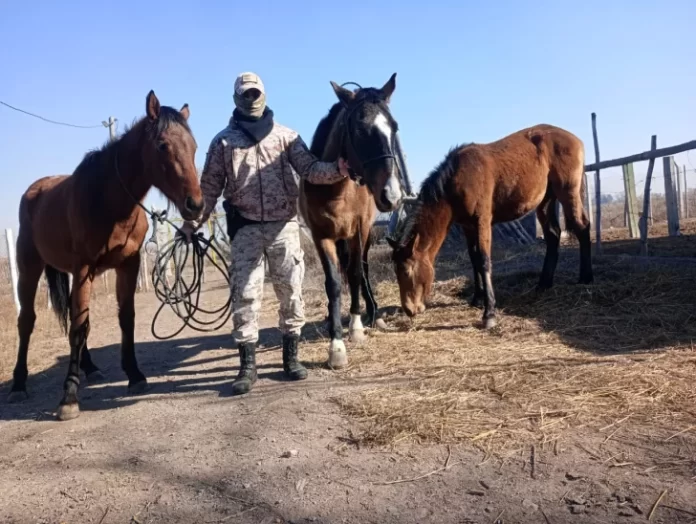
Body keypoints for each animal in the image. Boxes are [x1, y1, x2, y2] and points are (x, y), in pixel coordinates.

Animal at [7, 91, 204, 421]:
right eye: (162, 145)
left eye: (194, 146)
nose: (195, 205)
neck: (108, 200)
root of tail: (35, 190)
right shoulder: (84, 267)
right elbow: (78, 328)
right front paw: (68, 398)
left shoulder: (127, 265)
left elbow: (123, 318)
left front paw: (135, 376)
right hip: (30, 268)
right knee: (28, 321)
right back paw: (19, 385)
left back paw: (89, 368)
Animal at [299, 73, 412, 369]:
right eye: (359, 131)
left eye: (394, 128)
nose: (391, 195)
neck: (335, 190)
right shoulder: (321, 236)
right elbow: (334, 283)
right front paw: (336, 345)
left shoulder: (359, 230)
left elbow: (356, 274)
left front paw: (356, 327)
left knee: (362, 269)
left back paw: (372, 313)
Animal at [387, 124, 593, 328]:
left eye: (407, 271)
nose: (409, 309)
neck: (460, 177)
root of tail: (575, 139)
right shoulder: (467, 227)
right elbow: (474, 260)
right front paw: (477, 299)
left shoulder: (482, 222)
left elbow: (484, 261)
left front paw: (489, 313)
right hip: (546, 200)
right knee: (553, 235)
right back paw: (544, 283)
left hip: (568, 192)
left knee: (582, 228)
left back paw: (586, 278)